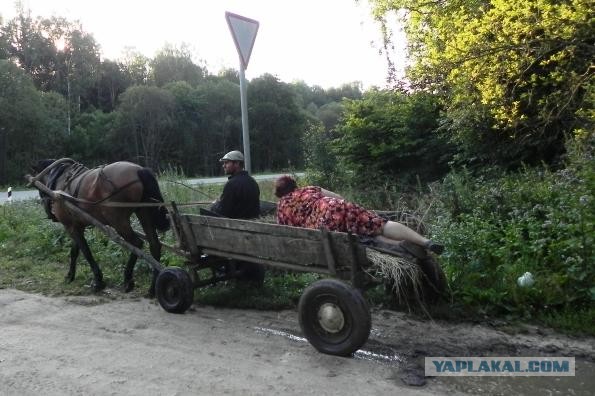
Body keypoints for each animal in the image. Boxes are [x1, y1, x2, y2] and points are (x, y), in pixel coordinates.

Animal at [30, 158, 170, 294]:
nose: (50, 213)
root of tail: (139, 170)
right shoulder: (77, 225)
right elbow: (75, 251)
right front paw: (70, 275)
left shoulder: (70, 226)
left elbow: (86, 252)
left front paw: (98, 281)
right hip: (144, 212)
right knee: (154, 245)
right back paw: (153, 289)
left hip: (118, 220)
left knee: (137, 243)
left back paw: (127, 280)